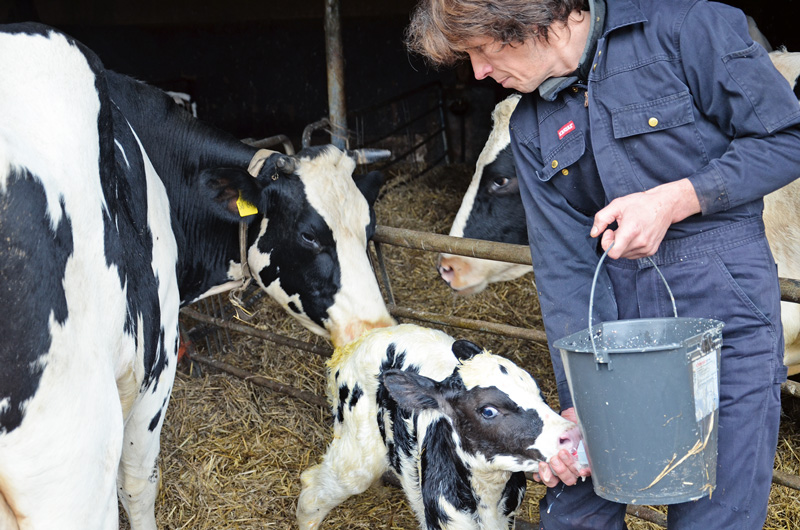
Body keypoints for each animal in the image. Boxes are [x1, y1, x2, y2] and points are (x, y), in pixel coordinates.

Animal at [296, 322, 580, 528]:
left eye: (539, 393)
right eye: (488, 410)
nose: (572, 434)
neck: (486, 501)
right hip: (357, 453)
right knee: (313, 490)